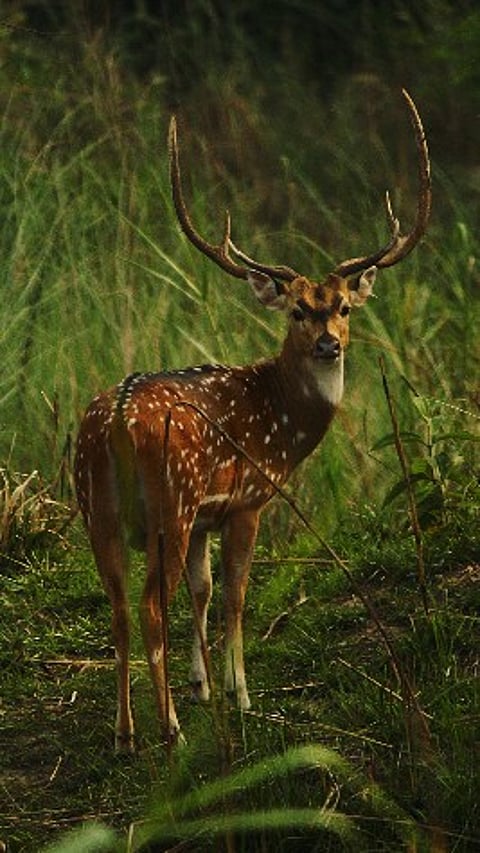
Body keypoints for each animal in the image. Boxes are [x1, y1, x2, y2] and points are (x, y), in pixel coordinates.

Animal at [74, 89, 431, 752]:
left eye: (344, 308)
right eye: (297, 311)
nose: (329, 345)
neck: (283, 421)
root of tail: (115, 423)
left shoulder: (207, 519)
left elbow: (204, 590)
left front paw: (203, 686)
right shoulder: (247, 500)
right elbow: (236, 594)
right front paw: (239, 695)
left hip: (98, 510)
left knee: (120, 608)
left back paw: (125, 733)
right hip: (169, 504)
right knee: (149, 605)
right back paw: (168, 729)